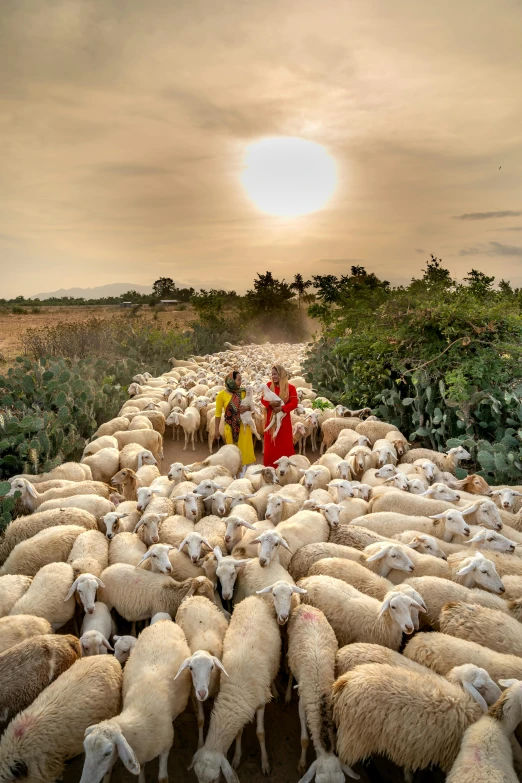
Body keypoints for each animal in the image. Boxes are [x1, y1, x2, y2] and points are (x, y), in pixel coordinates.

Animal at [190, 596, 280, 780]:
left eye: (215, 780)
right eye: (197, 777)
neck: (238, 690)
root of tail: (253, 597)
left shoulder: (260, 703)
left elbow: (260, 733)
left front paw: (265, 763)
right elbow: (239, 732)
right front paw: (237, 757)